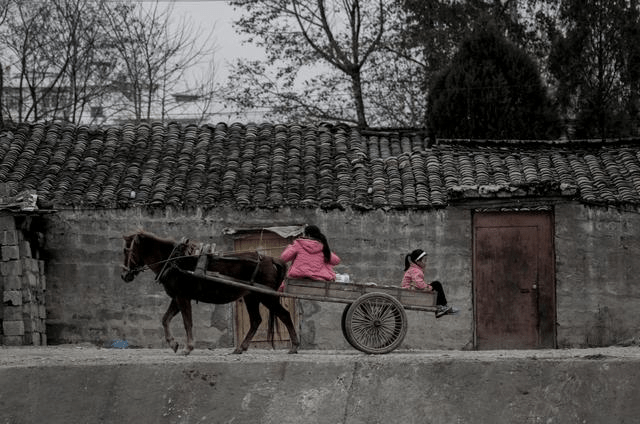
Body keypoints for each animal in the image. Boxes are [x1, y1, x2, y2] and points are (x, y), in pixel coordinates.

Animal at [120, 230, 300, 356]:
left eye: (126, 250)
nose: (123, 276)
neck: (173, 261)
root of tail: (271, 259)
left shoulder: (182, 297)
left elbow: (187, 322)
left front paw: (188, 348)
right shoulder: (177, 298)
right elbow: (165, 319)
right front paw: (173, 344)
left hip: (266, 296)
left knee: (284, 315)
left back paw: (294, 346)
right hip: (252, 296)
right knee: (256, 320)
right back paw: (240, 348)